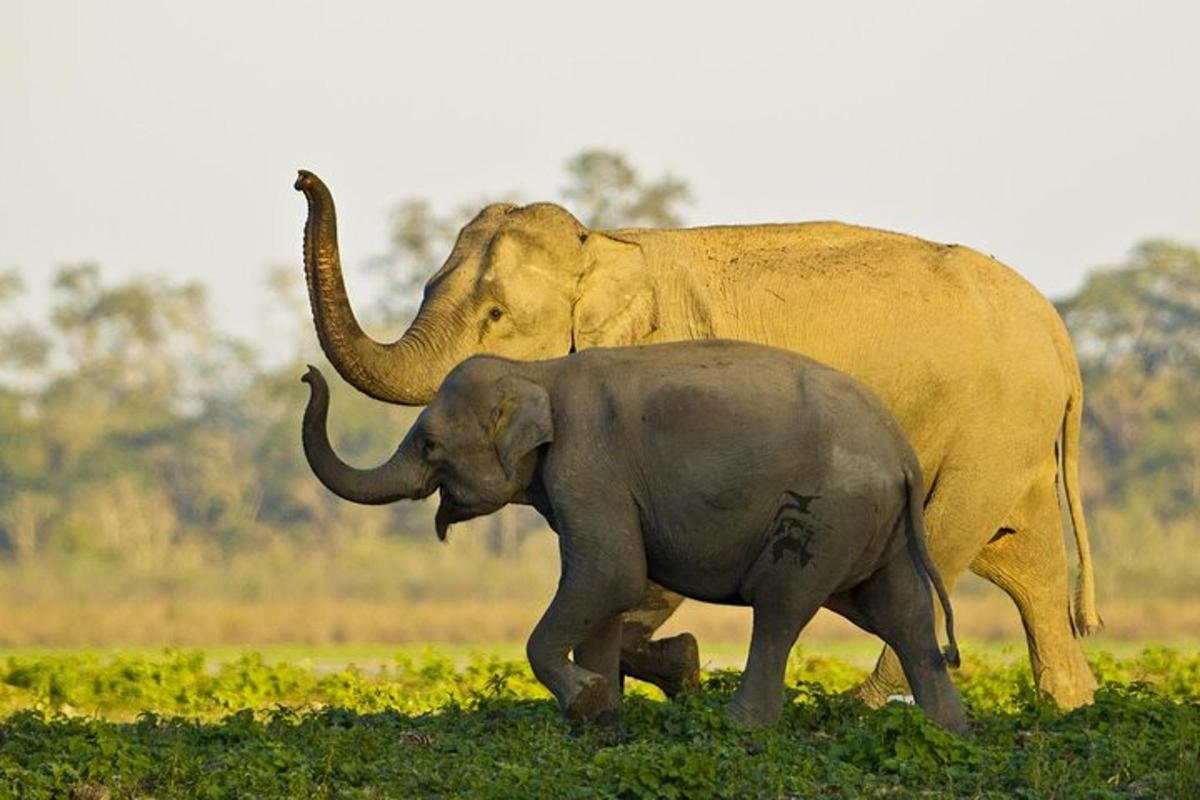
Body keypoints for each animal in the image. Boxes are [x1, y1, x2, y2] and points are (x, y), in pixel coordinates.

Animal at [302, 340, 974, 734]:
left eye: (428, 445)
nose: (307, 373)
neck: (537, 370)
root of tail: (904, 455)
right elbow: (603, 590)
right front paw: (603, 722)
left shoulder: (587, 465)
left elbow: (611, 573)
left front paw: (585, 701)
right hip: (878, 528)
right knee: (905, 617)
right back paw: (950, 732)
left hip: (823, 516)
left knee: (781, 607)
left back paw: (740, 731)